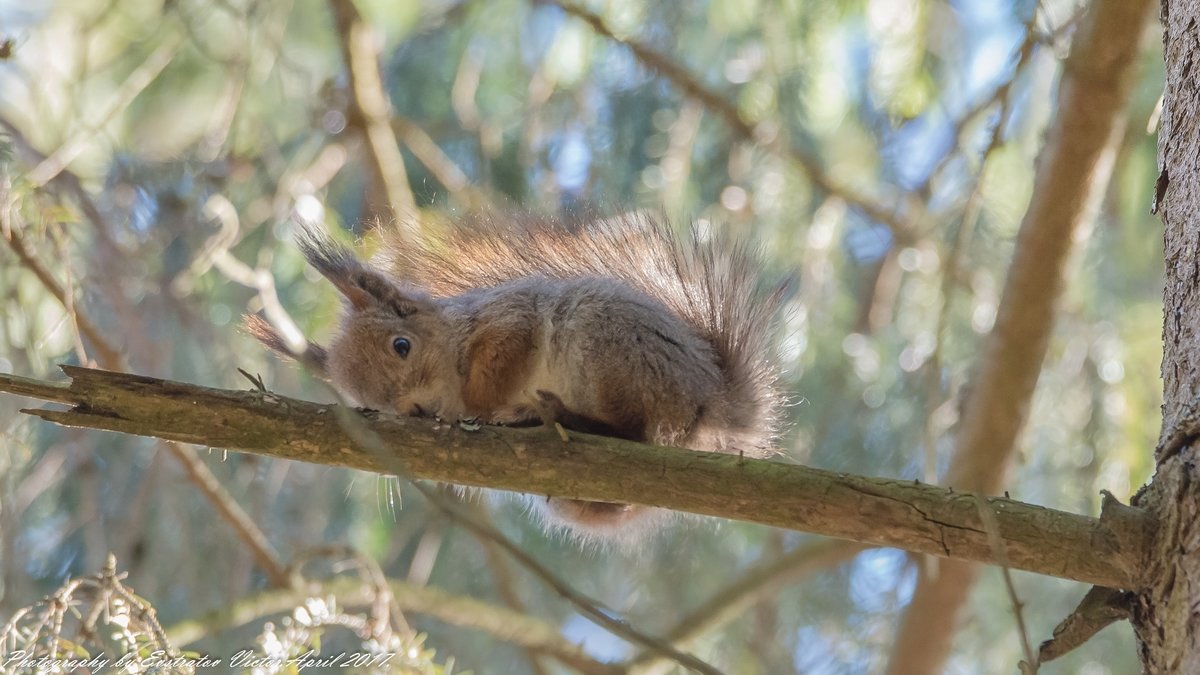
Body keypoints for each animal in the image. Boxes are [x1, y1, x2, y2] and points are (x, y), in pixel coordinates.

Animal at [246, 212, 787, 538]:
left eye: (402, 346)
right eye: (369, 406)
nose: (415, 410)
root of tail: (707, 398)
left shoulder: (511, 320)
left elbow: (499, 366)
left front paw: (483, 407)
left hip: (609, 345)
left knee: (633, 431)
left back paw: (557, 415)